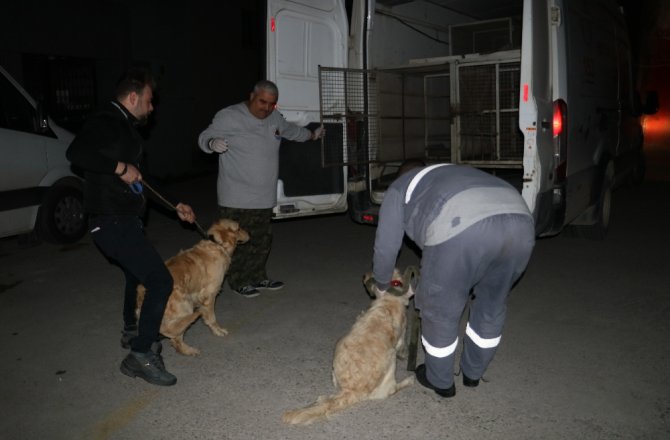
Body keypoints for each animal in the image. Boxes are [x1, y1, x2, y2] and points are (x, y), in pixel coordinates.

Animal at [136, 218, 249, 356]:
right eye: (239, 228)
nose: (249, 234)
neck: (217, 244)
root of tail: (142, 293)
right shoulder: (209, 295)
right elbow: (212, 318)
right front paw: (218, 330)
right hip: (185, 307)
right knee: (175, 338)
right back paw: (189, 350)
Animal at [282, 266, 418, 424]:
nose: (364, 275)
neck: (389, 301)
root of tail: (351, 391)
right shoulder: (401, 335)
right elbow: (402, 345)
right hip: (391, 361)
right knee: (392, 390)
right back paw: (409, 380)